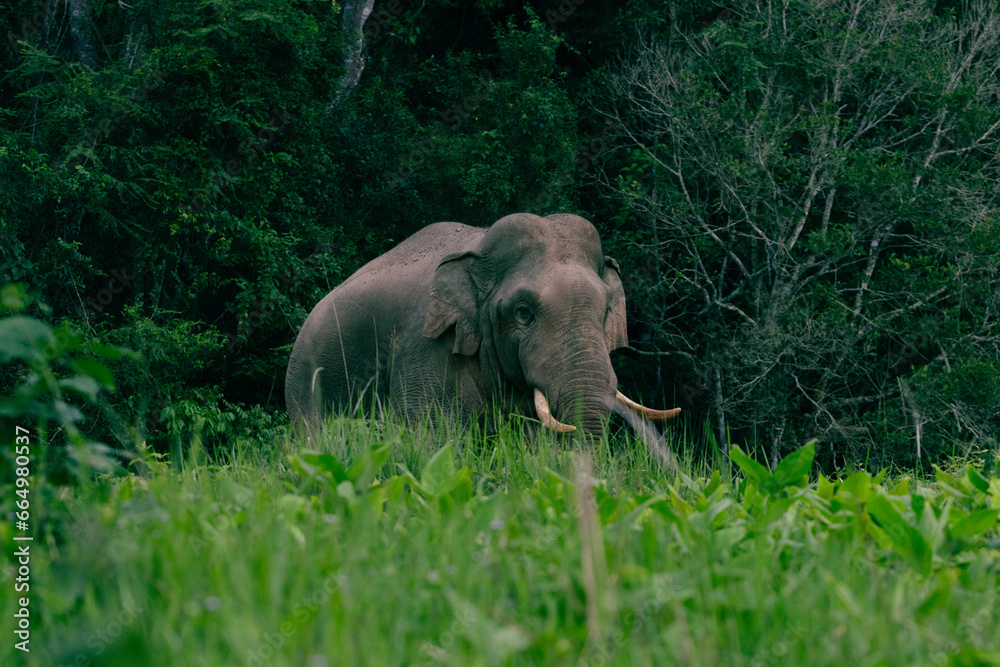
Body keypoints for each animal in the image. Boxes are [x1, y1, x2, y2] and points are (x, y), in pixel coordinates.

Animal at [285, 212, 679, 439]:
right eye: (523, 312)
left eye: (606, 310)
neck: (479, 250)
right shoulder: (423, 346)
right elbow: (432, 439)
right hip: (305, 380)